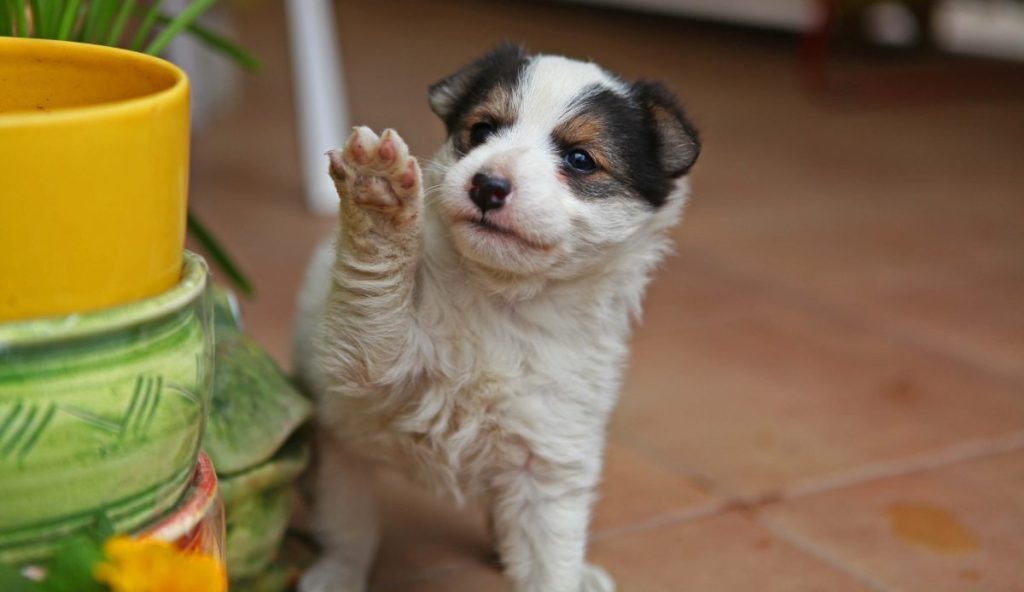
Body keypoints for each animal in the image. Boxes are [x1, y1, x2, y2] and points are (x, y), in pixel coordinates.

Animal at [292, 42, 700, 589]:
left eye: (580, 159)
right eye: (483, 130)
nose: (487, 185)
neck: (503, 301)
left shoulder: (550, 464)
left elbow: (550, 560)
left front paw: (562, 572)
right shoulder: (369, 366)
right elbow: (375, 294)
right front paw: (377, 194)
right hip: (342, 454)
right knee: (349, 528)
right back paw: (336, 573)